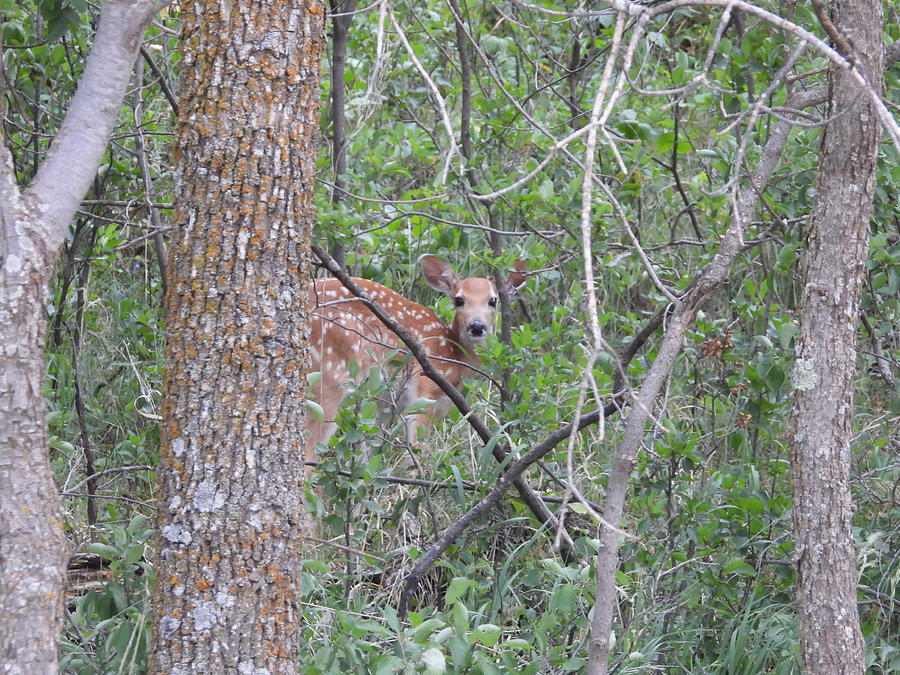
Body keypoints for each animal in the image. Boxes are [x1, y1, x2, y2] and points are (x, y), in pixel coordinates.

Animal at [304, 255, 525, 474]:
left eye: (493, 300)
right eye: (459, 300)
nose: (477, 326)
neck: (456, 356)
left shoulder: (382, 405)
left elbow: (369, 455)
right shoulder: (426, 389)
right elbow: (417, 452)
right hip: (331, 377)